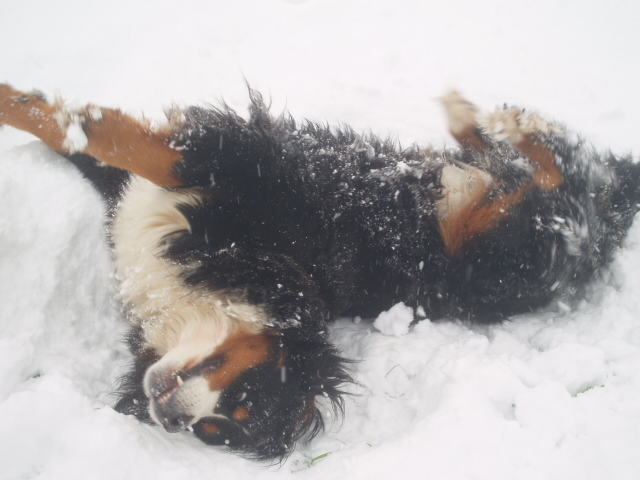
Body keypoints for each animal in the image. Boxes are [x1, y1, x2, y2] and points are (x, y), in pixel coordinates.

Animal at [1, 84, 640, 460]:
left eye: (222, 425)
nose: (169, 416)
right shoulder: (232, 174)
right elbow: (91, 136)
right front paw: (24, 103)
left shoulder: (228, 173)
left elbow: (112, 137)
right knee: (564, 163)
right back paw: (482, 122)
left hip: (512, 252)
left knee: (570, 186)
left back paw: (499, 125)